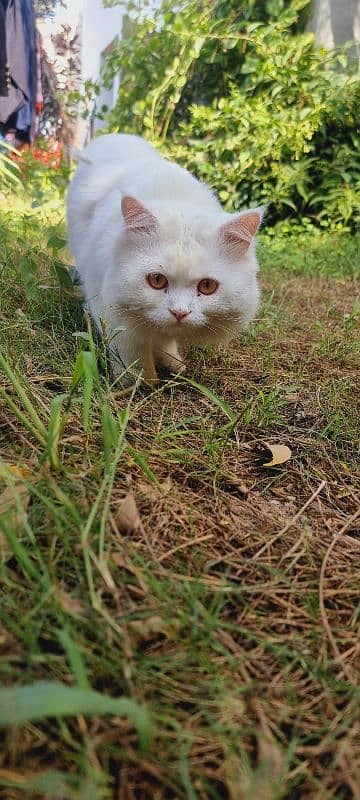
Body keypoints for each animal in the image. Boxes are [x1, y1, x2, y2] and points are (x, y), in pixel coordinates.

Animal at [67, 134, 264, 384]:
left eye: (207, 286)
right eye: (157, 281)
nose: (179, 313)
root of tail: (113, 136)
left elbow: (165, 340)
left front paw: (173, 365)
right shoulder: (113, 313)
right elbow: (132, 354)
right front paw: (140, 383)